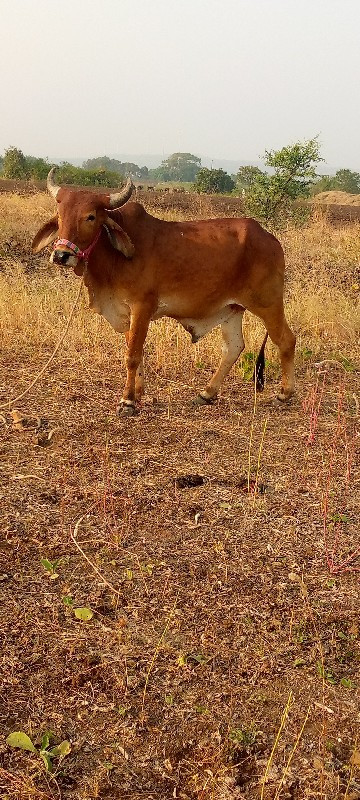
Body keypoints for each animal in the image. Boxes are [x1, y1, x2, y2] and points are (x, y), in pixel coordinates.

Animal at [31, 170, 296, 418]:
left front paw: (126, 402)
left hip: (268, 303)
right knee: (233, 348)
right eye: (60, 215)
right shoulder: (126, 312)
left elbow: (132, 355)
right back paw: (206, 394)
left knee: (286, 340)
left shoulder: (142, 306)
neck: (114, 258)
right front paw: (138, 394)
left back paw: (284, 394)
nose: (61, 255)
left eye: (91, 216)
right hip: (232, 309)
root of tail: (271, 239)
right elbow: (136, 351)